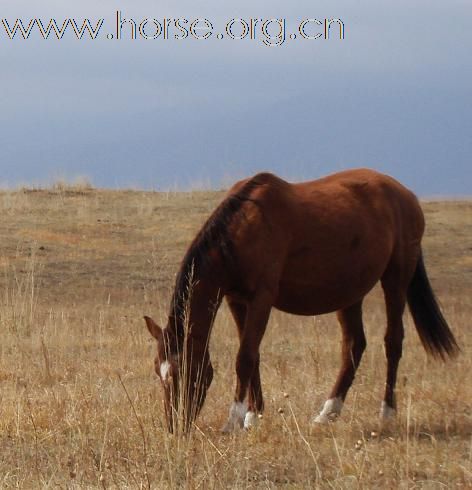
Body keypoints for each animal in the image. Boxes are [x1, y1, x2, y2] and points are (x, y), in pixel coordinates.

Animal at [146, 168, 460, 432]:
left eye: (182, 372)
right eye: (158, 372)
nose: (175, 426)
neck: (243, 228)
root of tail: (407, 196)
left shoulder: (261, 298)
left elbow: (244, 357)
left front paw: (234, 420)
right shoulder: (237, 300)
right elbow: (253, 356)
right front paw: (254, 414)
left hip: (396, 277)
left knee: (393, 341)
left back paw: (387, 412)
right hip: (350, 293)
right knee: (354, 346)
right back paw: (329, 411)